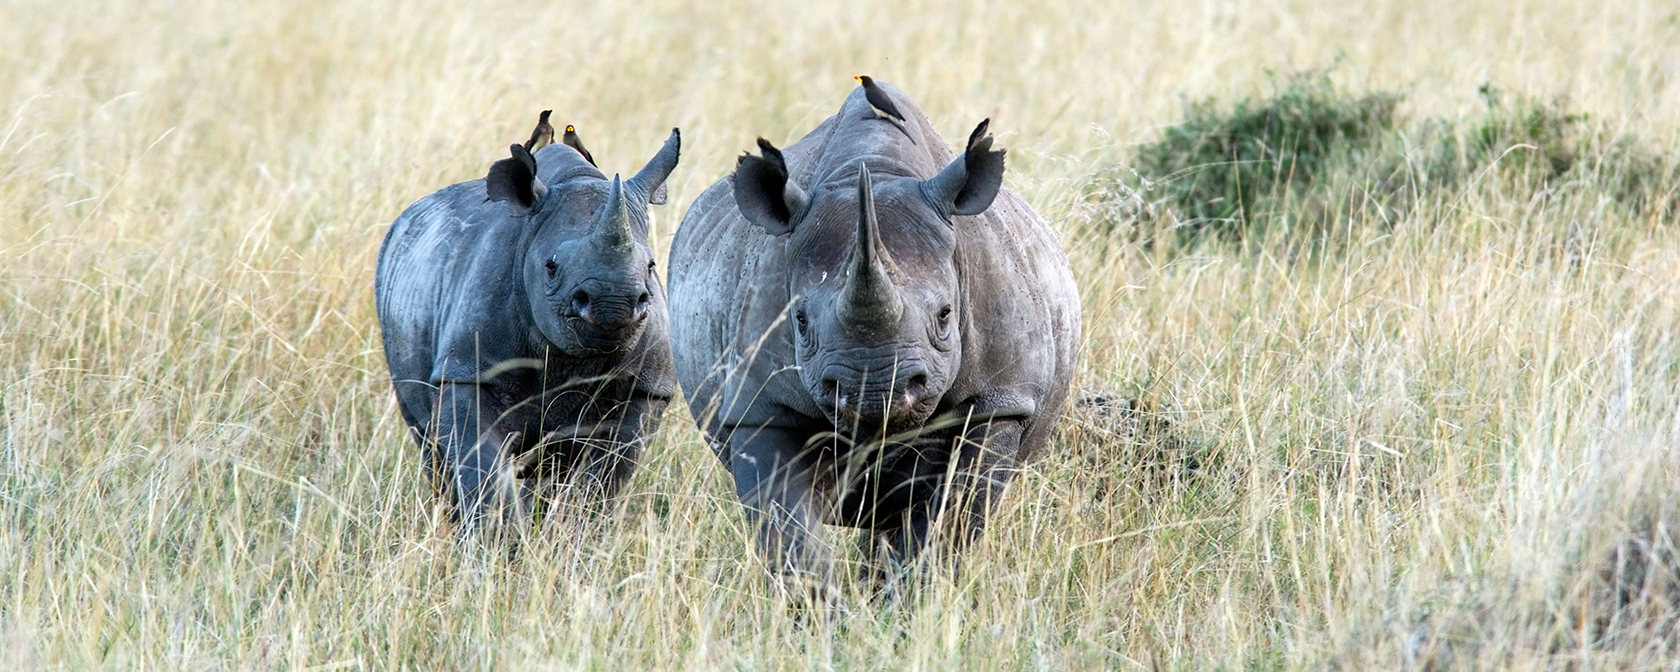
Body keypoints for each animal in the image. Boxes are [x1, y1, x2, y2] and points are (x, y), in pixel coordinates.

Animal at [378, 119, 678, 530]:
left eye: (651, 266)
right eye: (551, 267)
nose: (612, 304)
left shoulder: (646, 389)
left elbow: (601, 482)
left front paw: (573, 538)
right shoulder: (468, 371)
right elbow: (484, 472)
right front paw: (497, 542)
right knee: (430, 445)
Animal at [661, 81, 1081, 591]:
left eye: (946, 316)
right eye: (800, 322)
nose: (877, 390)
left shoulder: (1001, 401)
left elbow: (949, 526)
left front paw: (914, 604)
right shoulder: (760, 406)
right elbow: (789, 531)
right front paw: (819, 609)